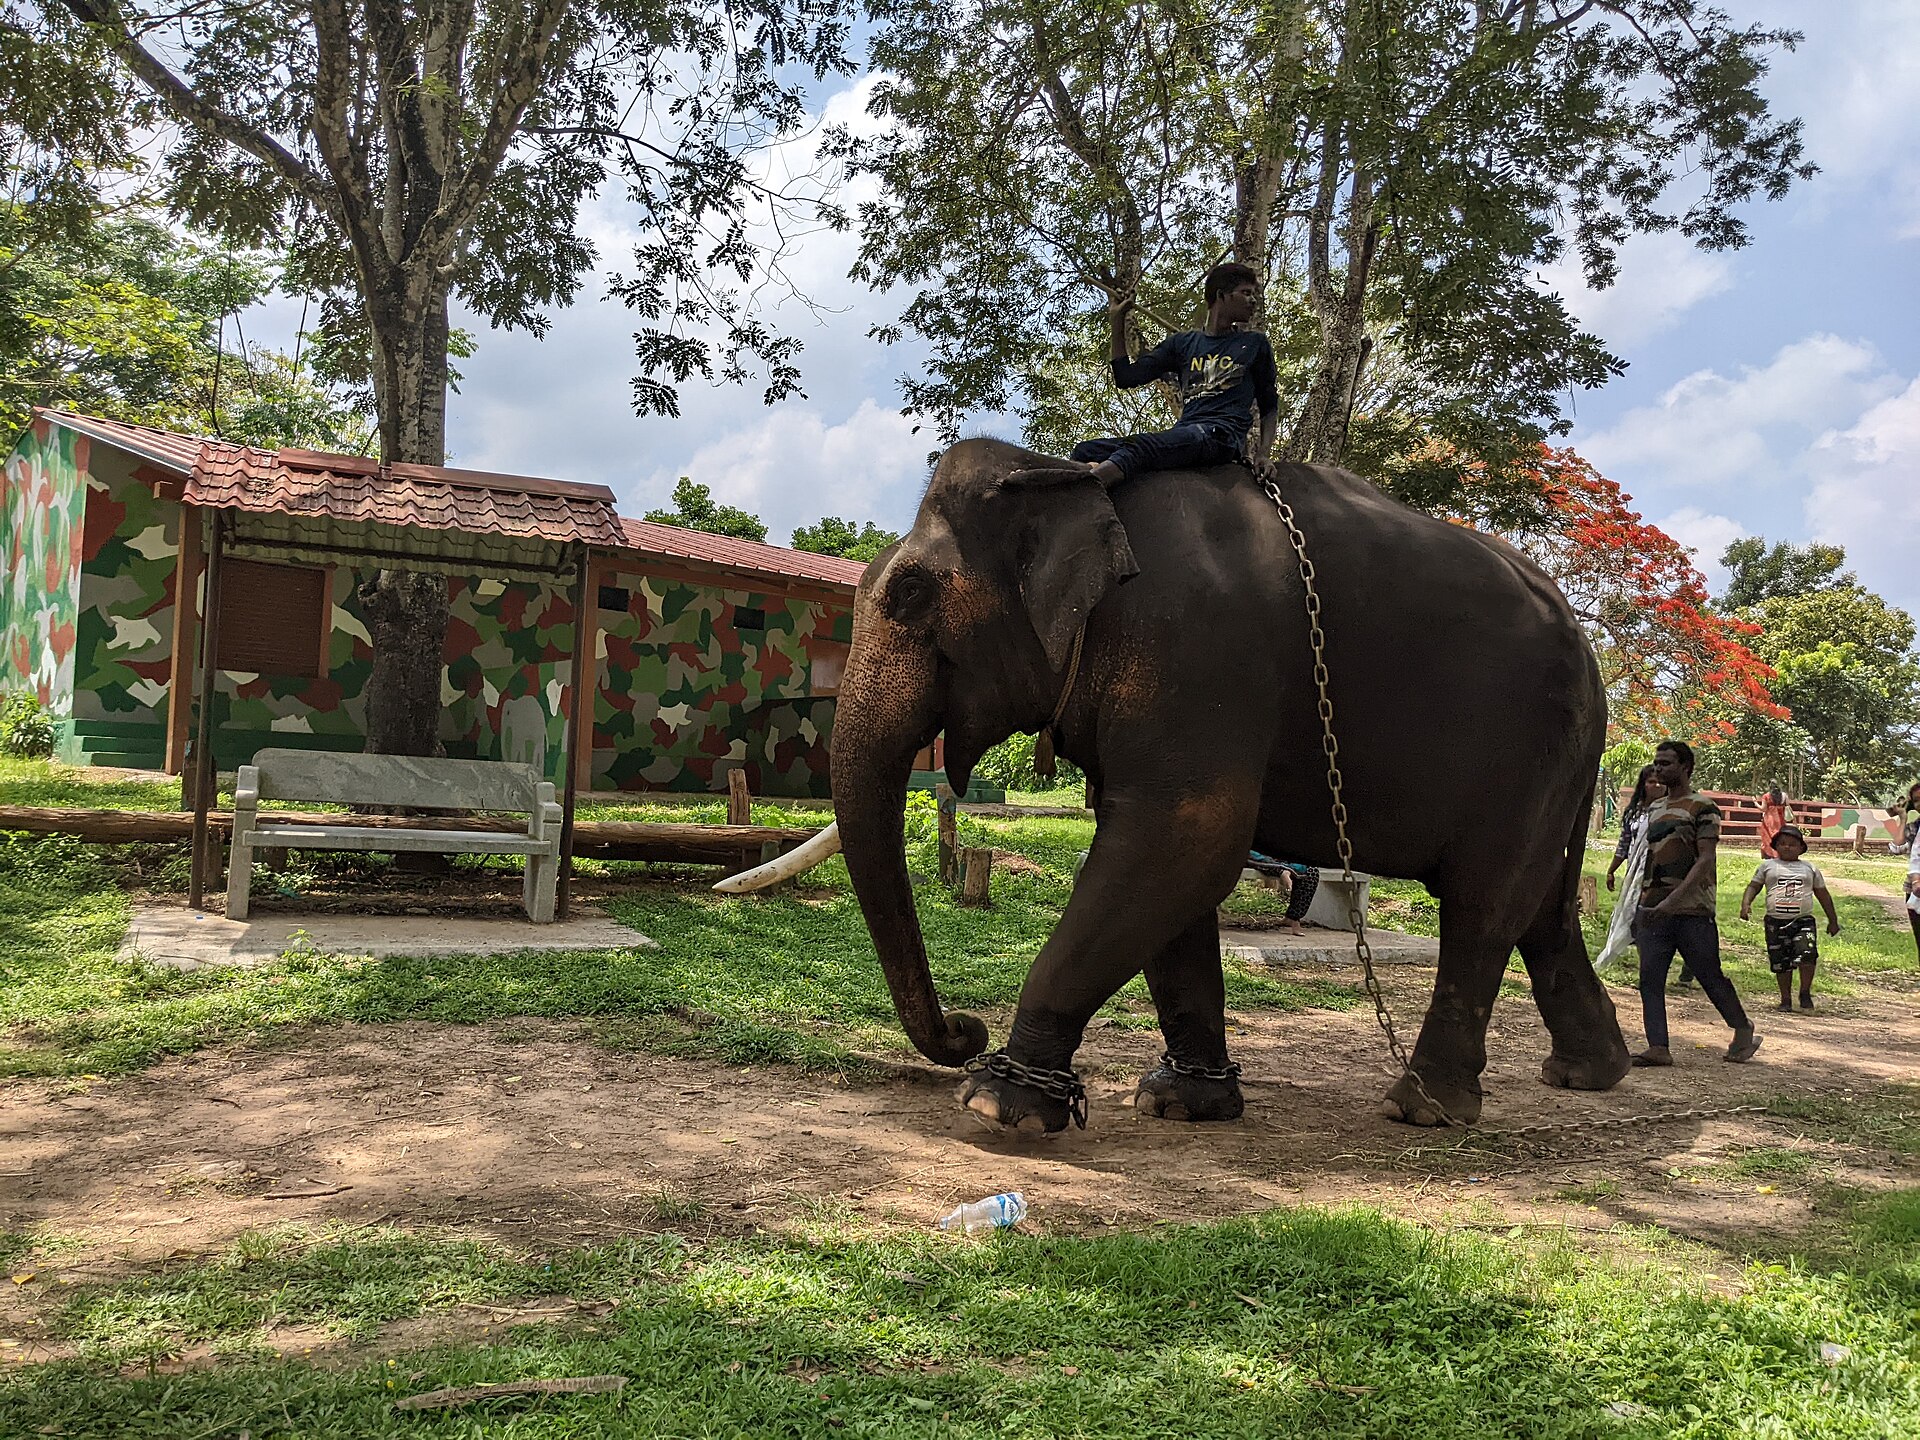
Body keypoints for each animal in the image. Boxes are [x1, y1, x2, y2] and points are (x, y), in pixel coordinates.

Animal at [830, 438, 1631, 1133]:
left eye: (908, 593)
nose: (965, 1029)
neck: (1070, 480)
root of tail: (1595, 667)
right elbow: (1164, 872)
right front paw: (1181, 1103)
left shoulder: (1195, 647)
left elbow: (1182, 841)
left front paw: (998, 1105)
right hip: (1555, 767)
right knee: (1541, 906)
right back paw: (1590, 1074)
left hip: (1529, 748)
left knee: (1484, 903)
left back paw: (1423, 1108)